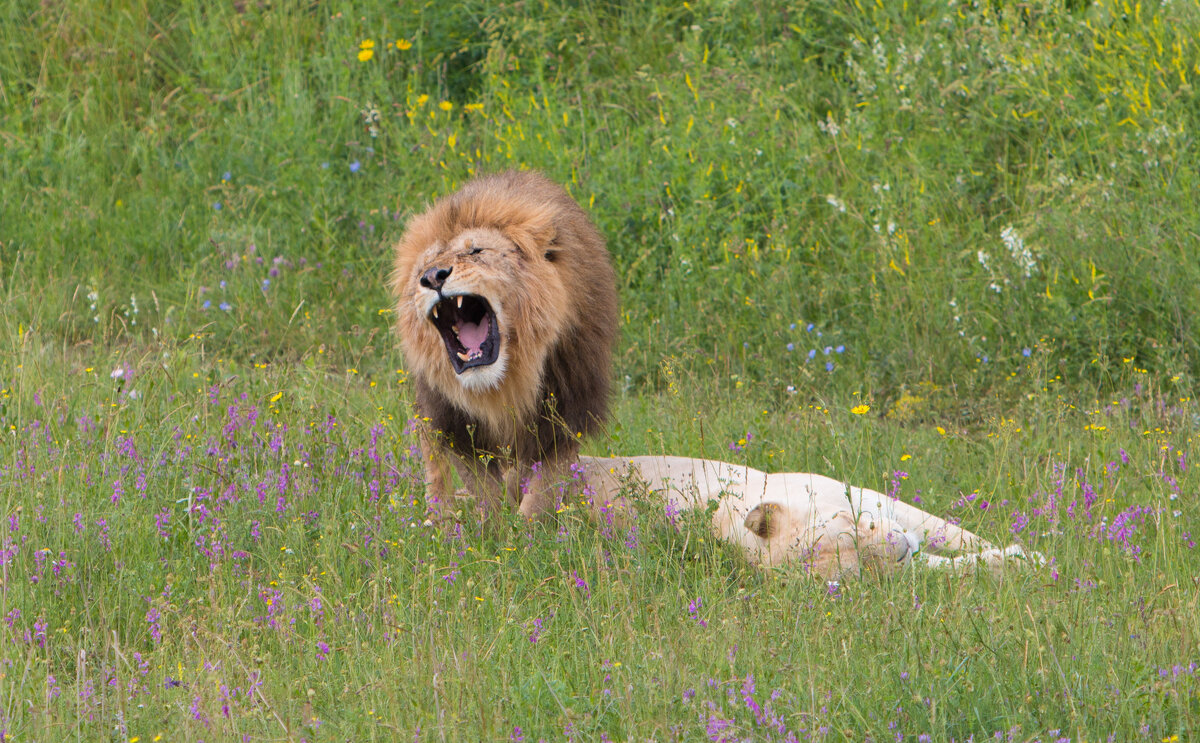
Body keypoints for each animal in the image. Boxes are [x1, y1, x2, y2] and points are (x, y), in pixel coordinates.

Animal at [391, 171, 619, 520]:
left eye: (476, 251)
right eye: (422, 267)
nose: (433, 277)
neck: (501, 384)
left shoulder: (567, 409)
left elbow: (543, 487)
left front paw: (529, 531)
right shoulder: (452, 422)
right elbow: (482, 487)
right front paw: (492, 528)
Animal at [576, 453, 1036, 580]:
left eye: (849, 526)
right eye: (860, 568)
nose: (900, 550)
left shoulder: (871, 497)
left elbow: (953, 533)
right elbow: (955, 564)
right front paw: (1024, 560)